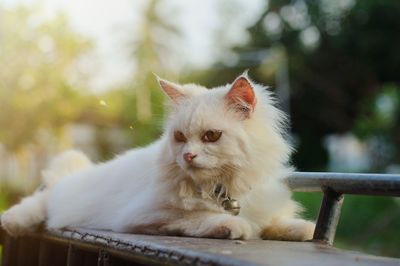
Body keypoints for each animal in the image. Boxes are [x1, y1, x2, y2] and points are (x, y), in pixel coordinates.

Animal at [1, 73, 314, 241]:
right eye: (180, 137)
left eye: (211, 136)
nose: (188, 156)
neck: (222, 188)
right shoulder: (145, 216)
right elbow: (199, 217)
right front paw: (236, 226)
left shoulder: (260, 202)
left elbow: (274, 222)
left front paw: (302, 229)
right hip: (56, 196)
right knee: (37, 203)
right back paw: (12, 222)